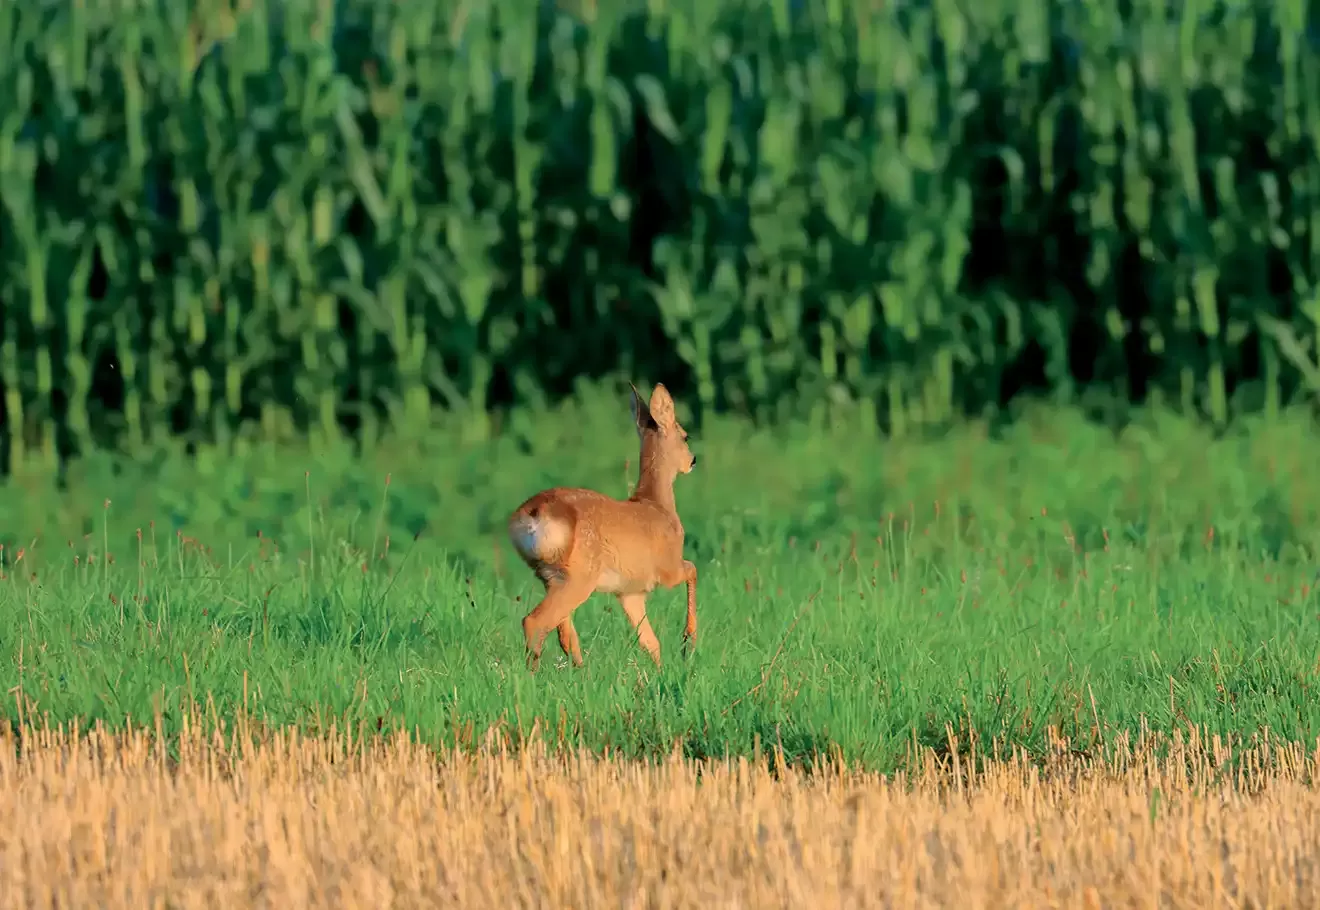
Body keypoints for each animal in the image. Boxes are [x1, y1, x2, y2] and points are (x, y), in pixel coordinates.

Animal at [501, 380, 696, 670]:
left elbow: (651, 643)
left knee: (565, 634)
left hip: (551, 576)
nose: (692, 461)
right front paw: (689, 642)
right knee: (534, 622)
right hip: (580, 576)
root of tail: (534, 513)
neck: (658, 505)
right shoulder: (668, 568)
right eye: (685, 436)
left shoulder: (630, 592)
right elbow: (693, 569)